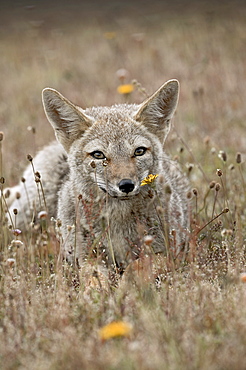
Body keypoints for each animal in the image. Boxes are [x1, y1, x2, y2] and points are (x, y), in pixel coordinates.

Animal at [4, 80, 190, 268]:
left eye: (139, 151)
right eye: (98, 155)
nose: (126, 185)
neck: (118, 221)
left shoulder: (164, 253)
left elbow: (135, 268)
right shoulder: (87, 258)